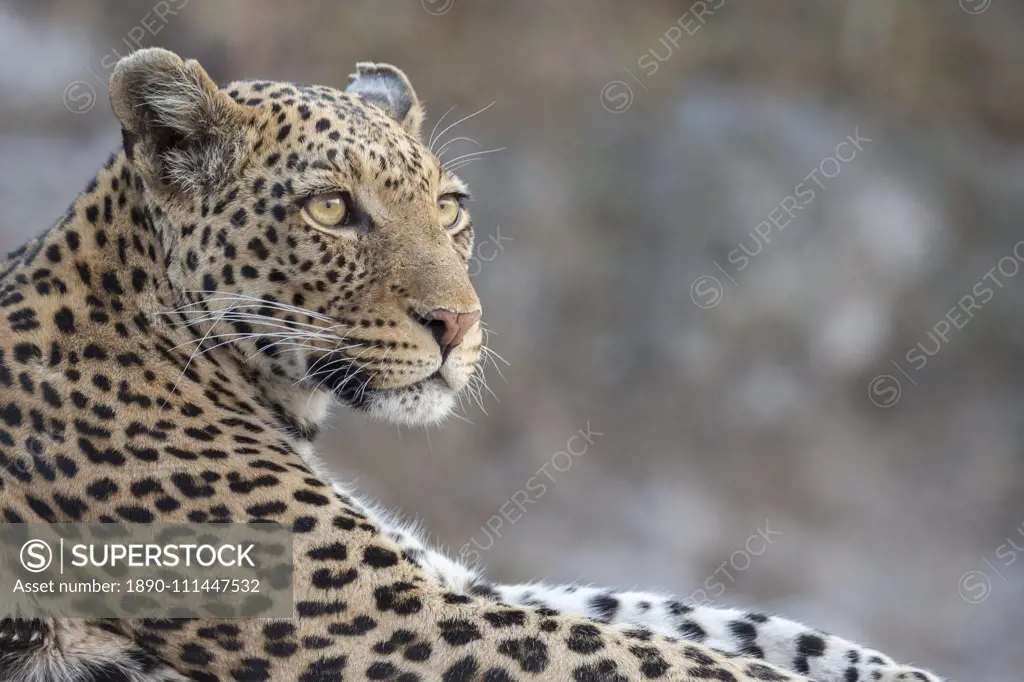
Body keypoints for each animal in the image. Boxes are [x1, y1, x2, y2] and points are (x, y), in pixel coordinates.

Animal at [0, 49, 942, 679]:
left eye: (449, 207)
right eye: (331, 209)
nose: (459, 323)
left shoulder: (440, 578)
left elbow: (692, 620)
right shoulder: (397, 615)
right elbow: (661, 653)